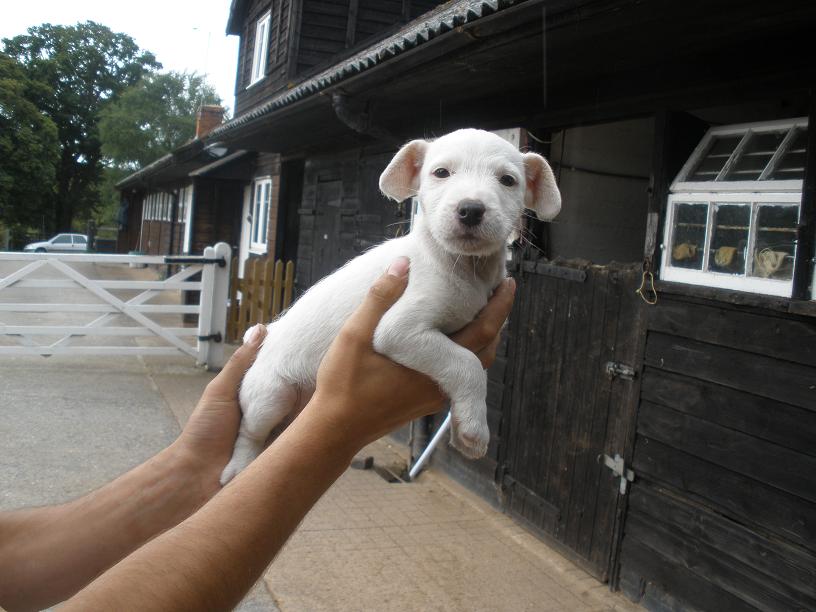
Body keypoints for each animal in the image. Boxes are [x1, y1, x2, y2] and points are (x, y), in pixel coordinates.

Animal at [221, 128, 560, 484]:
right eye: (441, 172)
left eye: (508, 180)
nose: (471, 209)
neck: (462, 267)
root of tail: (267, 336)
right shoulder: (399, 330)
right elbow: (466, 363)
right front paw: (475, 430)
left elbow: (473, 368)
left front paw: (463, 427)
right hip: (269, 395)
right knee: (249, 432)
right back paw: (238, 467)